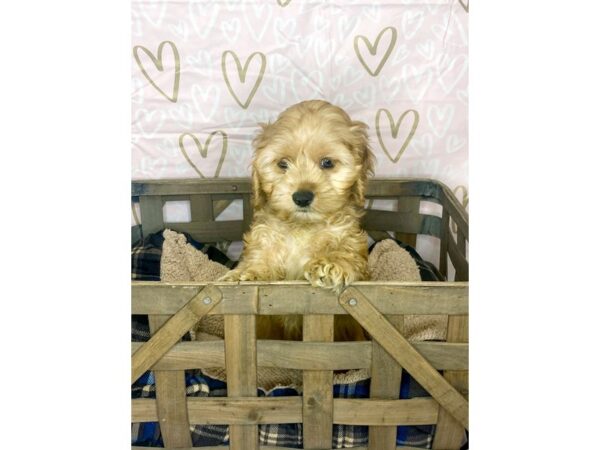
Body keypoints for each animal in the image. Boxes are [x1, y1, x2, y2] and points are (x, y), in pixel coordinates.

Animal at [220, 101, 376, 342]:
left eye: (327, 163)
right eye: (283, 164)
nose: (302, 197)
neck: (302, 227)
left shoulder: (349, 240)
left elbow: (345, 253)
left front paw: (329, 265)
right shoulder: (266, 239)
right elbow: (261, 259)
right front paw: (246, 273)